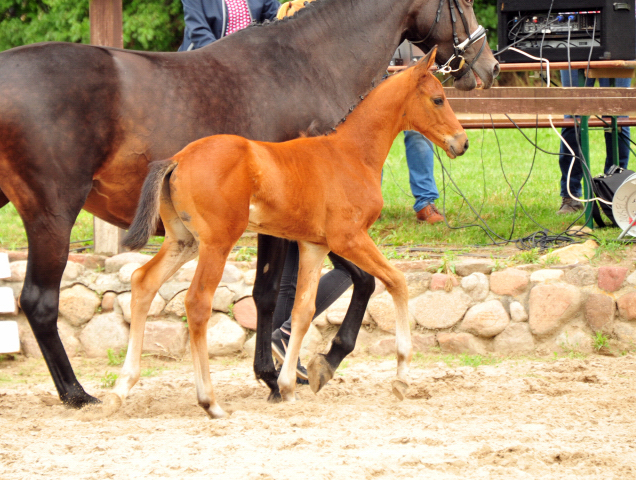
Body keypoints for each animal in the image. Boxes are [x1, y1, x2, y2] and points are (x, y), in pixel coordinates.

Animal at [117, 47, 468, 418]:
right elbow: (397, 282)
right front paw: (401, 376)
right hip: (217, 242)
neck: (352, 153)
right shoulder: (349, 238)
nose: (463, 142)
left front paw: (286, 386)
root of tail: (178, 159)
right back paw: (209, 401)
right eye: (438, 99)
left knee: (143, 281)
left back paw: (121, 387)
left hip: (184, 241)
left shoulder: (314, 246)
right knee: (197, 302)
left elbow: (303, 311)